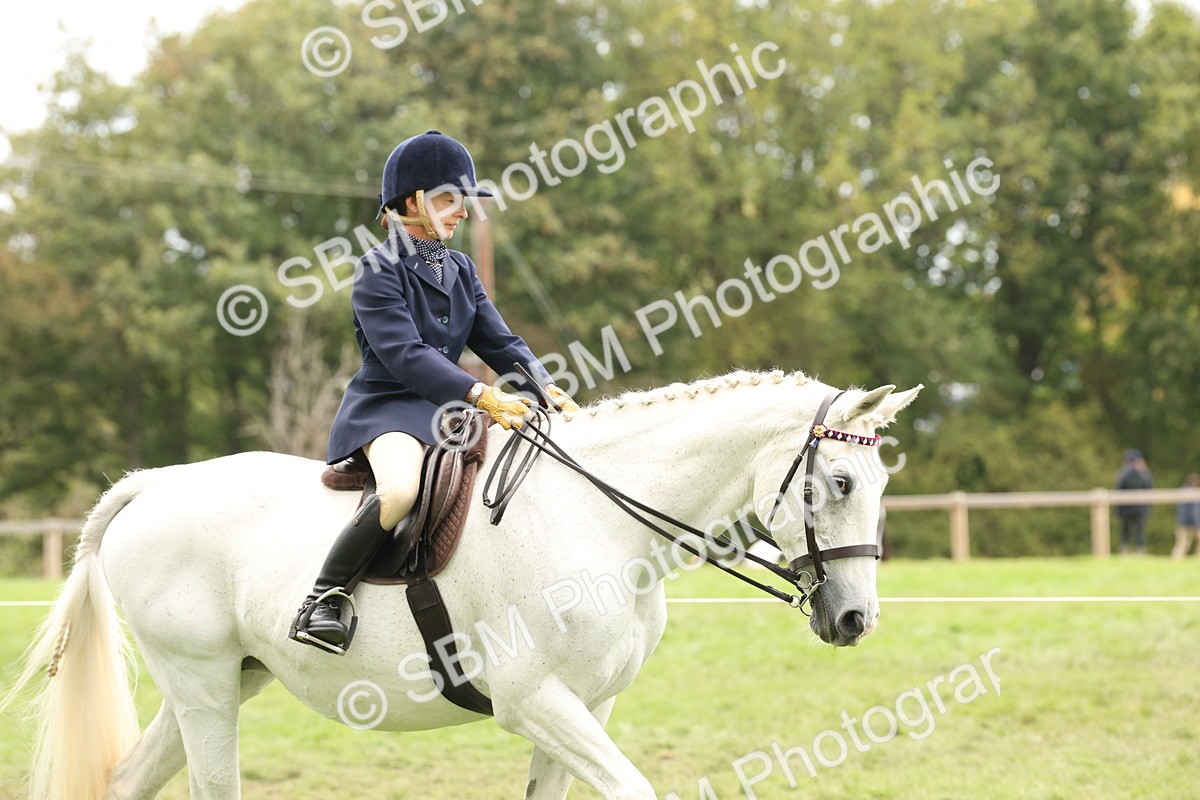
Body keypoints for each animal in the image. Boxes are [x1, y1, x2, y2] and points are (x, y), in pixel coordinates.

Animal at [4, 369, 919, 800]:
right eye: (841, 482)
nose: (854, 620)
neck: (601, 517)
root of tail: (151, 486)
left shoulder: (587, 706)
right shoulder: (536, 700)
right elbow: (632, 787)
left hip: (228, 677)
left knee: (129, 779)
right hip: (201, 684)